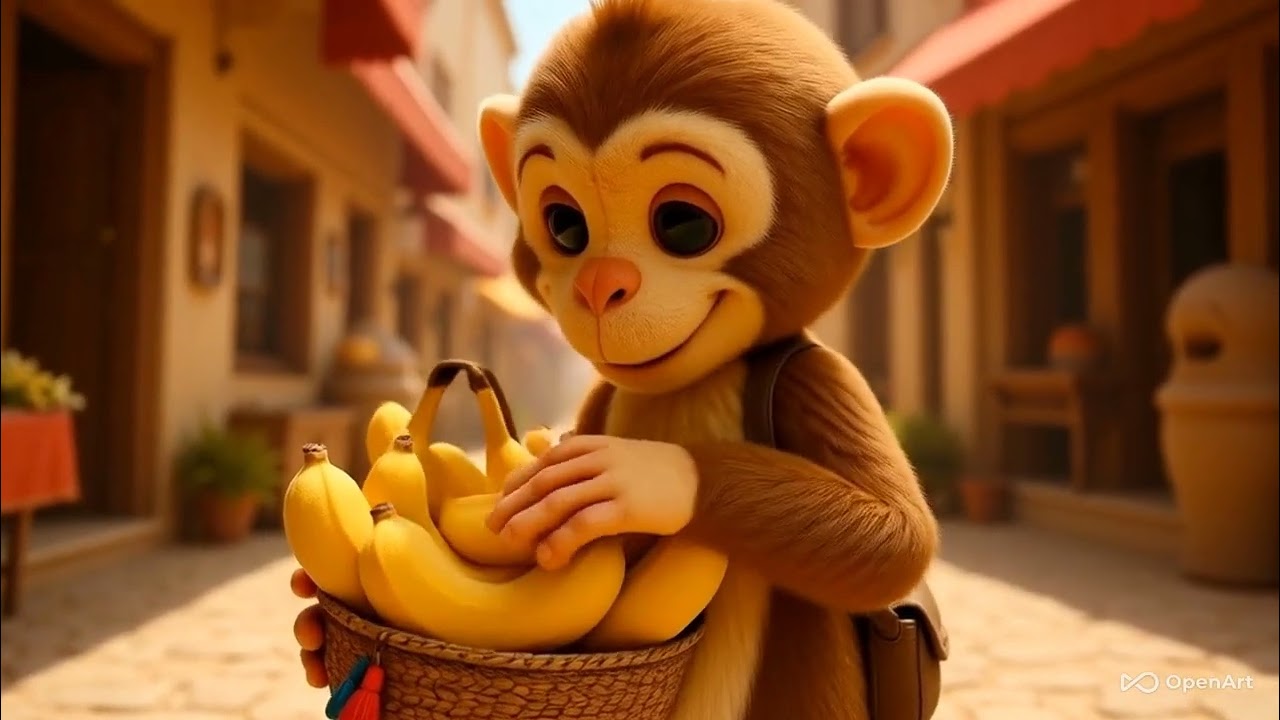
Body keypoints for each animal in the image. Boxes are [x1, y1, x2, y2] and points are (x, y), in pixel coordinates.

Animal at [290, 1, 953, 718]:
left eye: (685, 222)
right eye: (564, 225)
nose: (597, 285)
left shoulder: (813, 377)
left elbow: (896, 534)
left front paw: (639, 476)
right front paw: (311, 626)